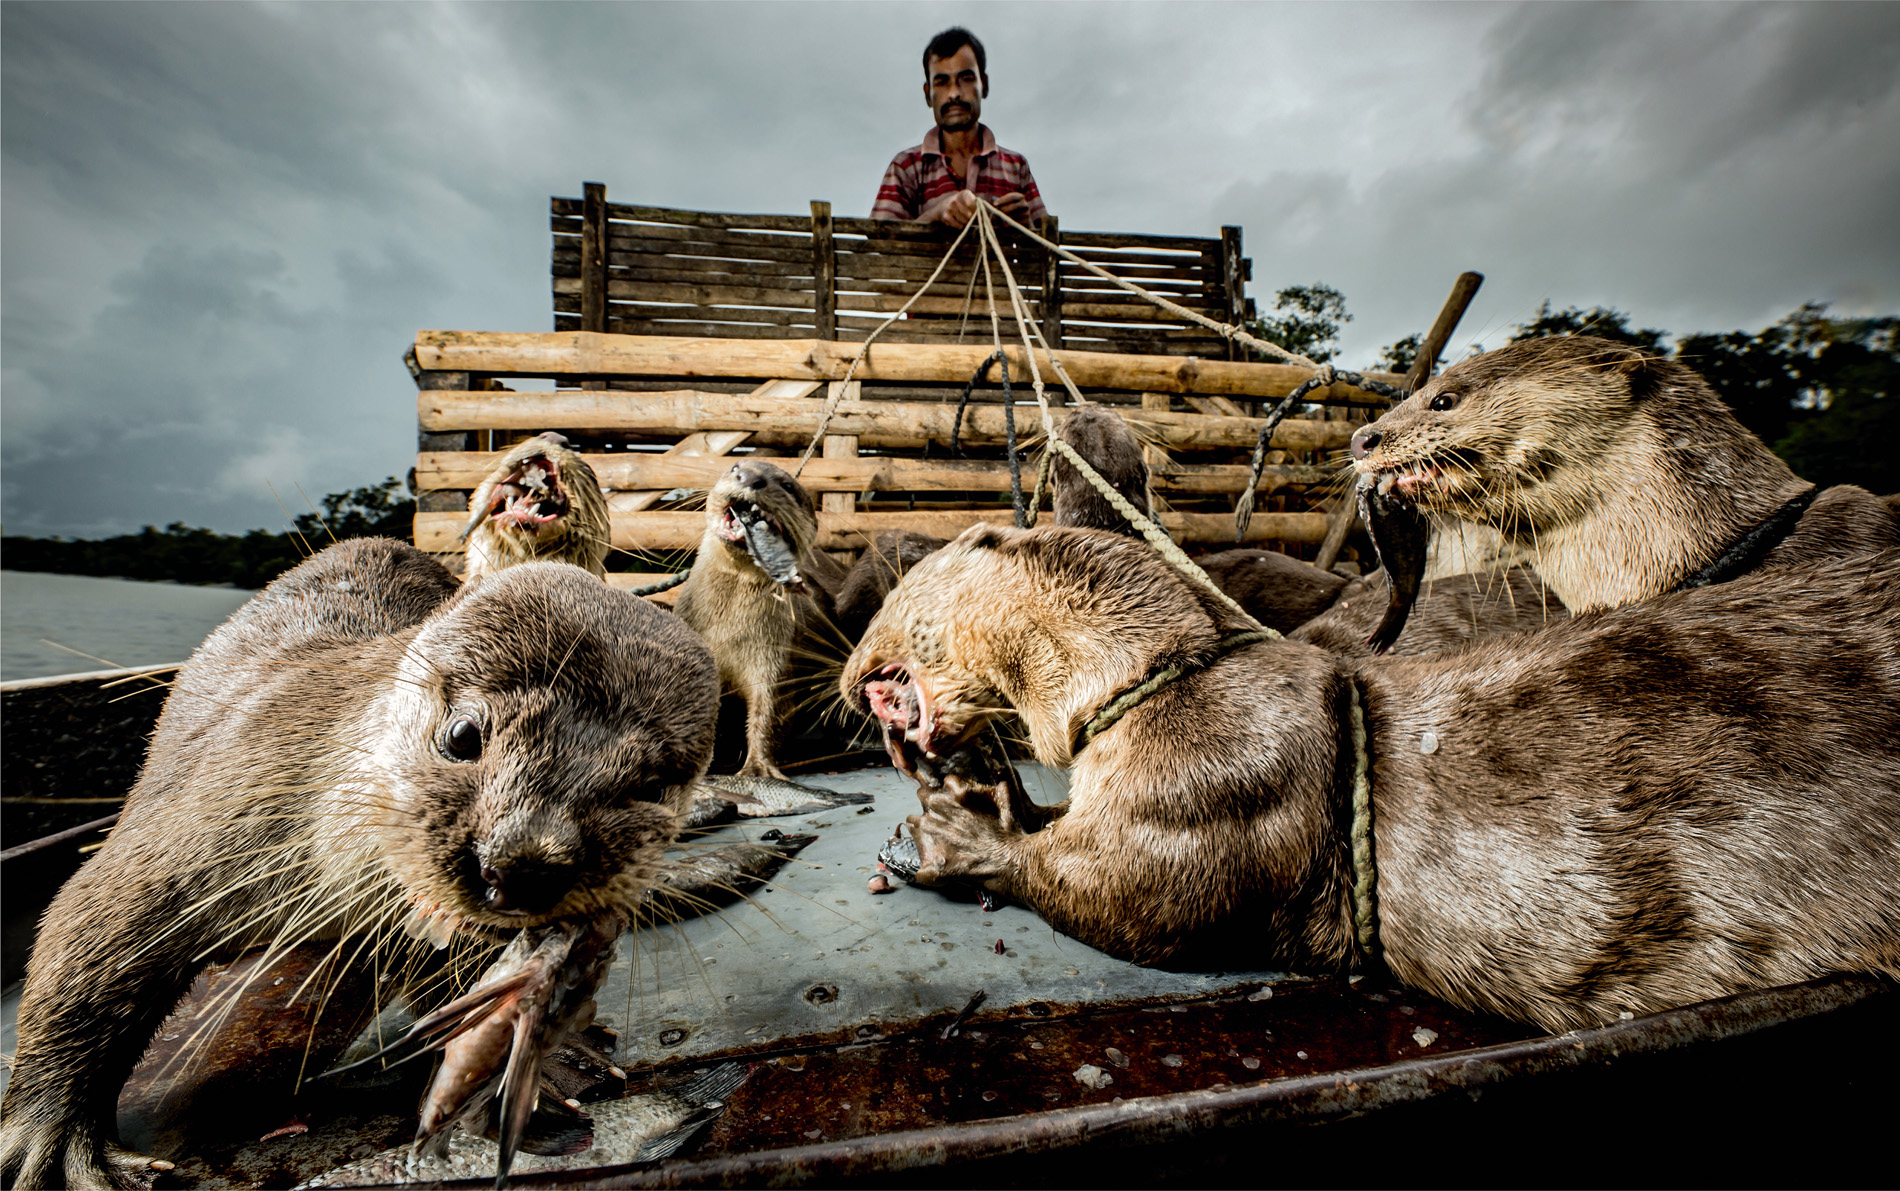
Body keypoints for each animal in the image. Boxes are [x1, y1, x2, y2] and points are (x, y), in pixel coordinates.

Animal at [0, 543, 718, 1191]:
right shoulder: (200, 827)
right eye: (463, 735)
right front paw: (48, 1143)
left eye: (652, 786)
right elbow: (87, 942)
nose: (521, 863)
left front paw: (553, 1060)